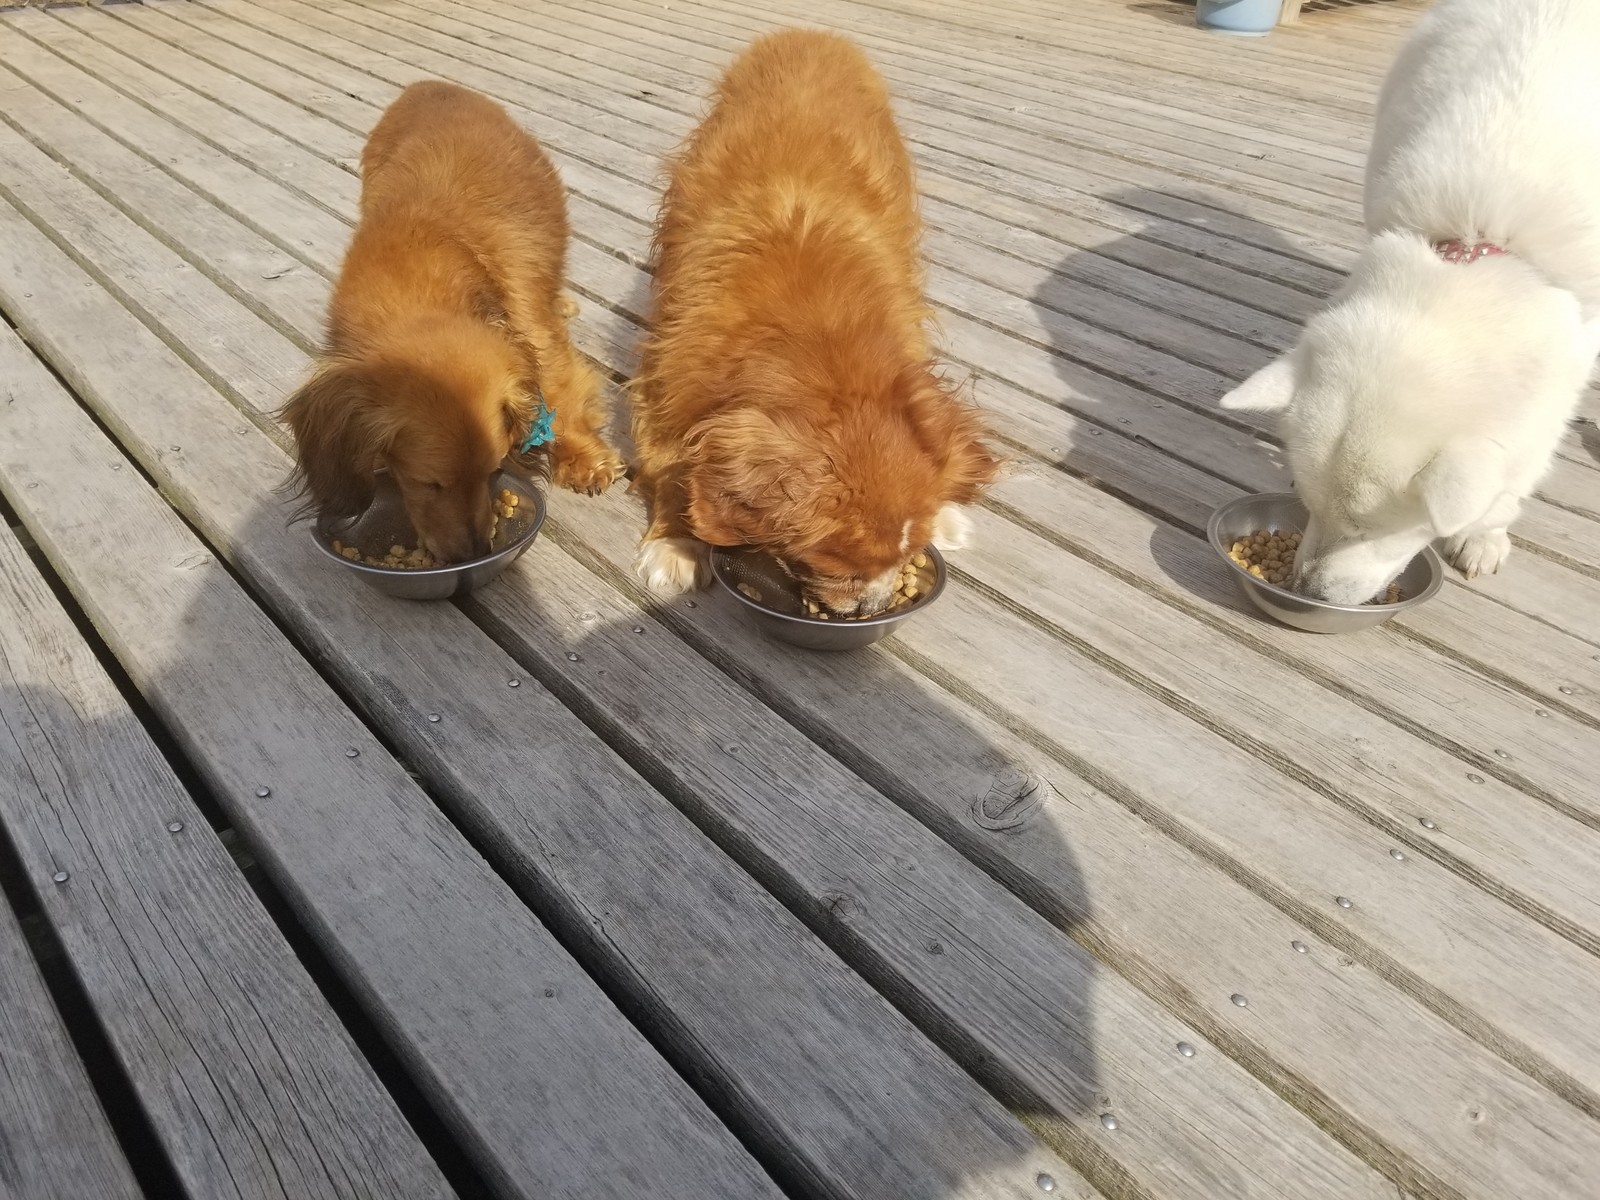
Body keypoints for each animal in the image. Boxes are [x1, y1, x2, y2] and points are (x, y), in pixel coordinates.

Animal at [283, 81, 621, 563]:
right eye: (430, 483)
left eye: (494, 471)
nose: (475, 551)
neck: (413, 278)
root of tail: (432, 85)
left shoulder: (536, 333)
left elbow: (562, 392)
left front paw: (583, 460)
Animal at [629, 30, 1000, 615]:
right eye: (840, 570)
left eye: (905, 555)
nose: (873, 606)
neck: (817, 341)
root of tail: (809, 34)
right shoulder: (669, 378)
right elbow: (670, 463)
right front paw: (677, 544)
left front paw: (942, 511)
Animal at [1222, 0, 1600, 606]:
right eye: (1309, 507)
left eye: (1370, 531)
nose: (1309, 589)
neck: (1478, 243)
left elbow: (1520, 470)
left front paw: (1485, 532)